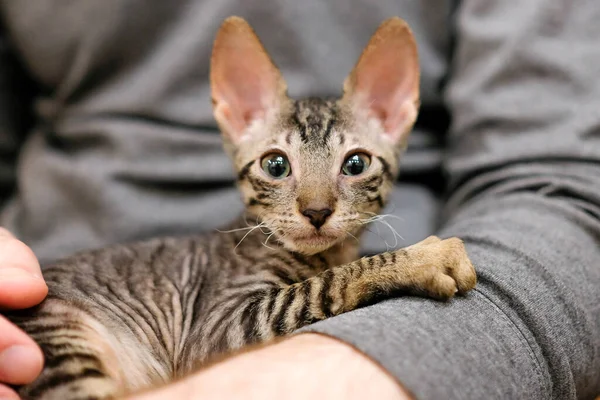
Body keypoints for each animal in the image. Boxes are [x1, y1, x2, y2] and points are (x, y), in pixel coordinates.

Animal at [7, 16, 476, 400]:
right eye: (276, 165)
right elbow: (324, 284)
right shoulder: (217, 330)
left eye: (356, 164)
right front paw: (423, 257)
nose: (317, 211)